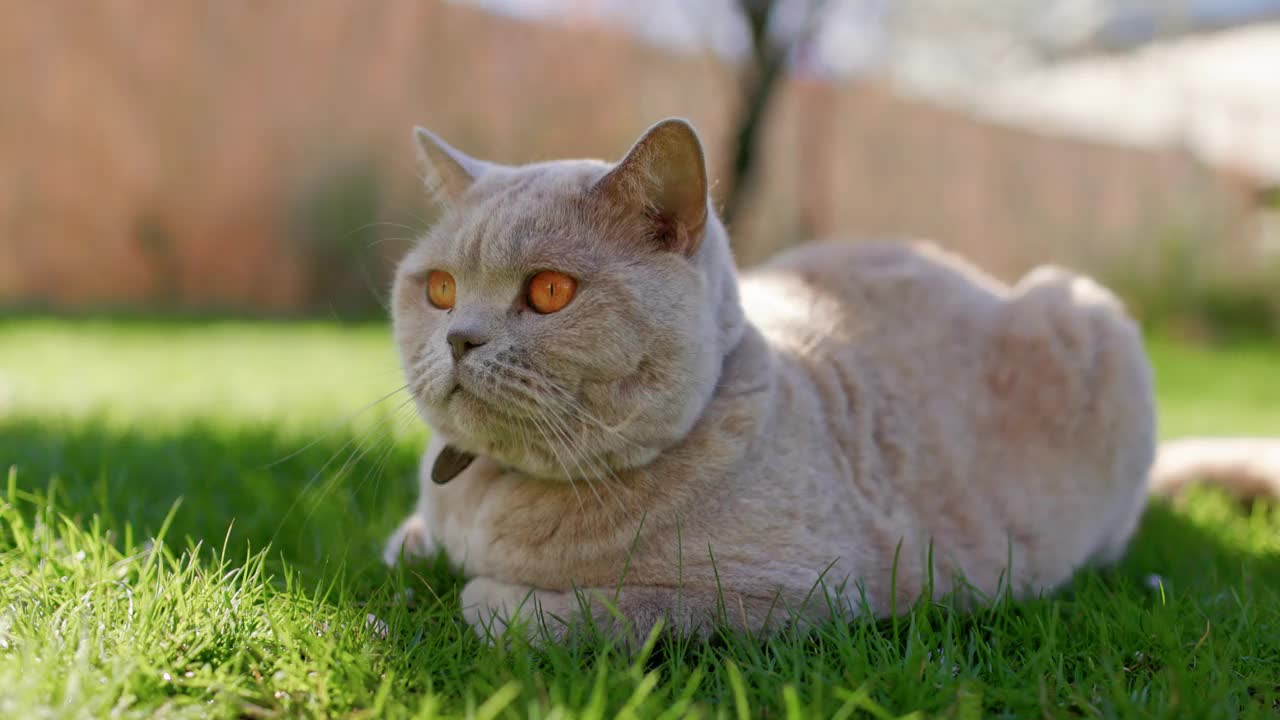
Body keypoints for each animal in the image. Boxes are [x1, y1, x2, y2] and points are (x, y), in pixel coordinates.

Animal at [381, 119, 1280, 645]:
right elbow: (403, 546)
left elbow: (589, 611)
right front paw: (424, 552)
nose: (460, 338)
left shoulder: (799, 595)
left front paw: (486, 597)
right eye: (440, 290)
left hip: (1096, 323)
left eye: (548, 292)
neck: (489, 502)